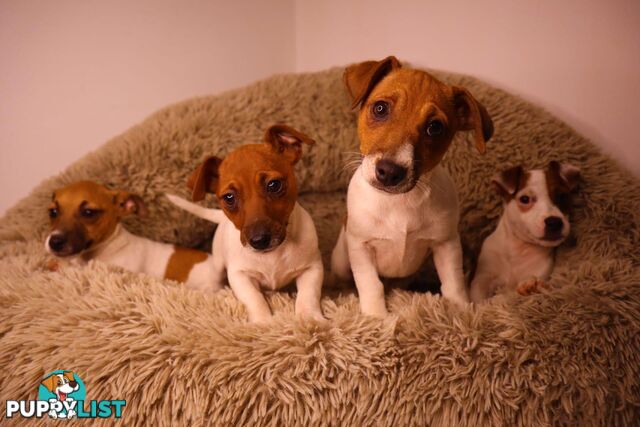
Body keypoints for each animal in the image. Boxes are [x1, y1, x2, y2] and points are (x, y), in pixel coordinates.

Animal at [165, 123, 324, 320]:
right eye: (229, 197)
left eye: (274, 185)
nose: (259, 241)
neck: (273, 255)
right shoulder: (239, 276)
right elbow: (254, 298)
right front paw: (264, 321)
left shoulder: (312, 268)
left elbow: (308, 294)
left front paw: (310, 318)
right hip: (218, 264)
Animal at [330, 56, 496, 318]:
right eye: (380, 108)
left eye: (434, 127)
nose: (389, 172)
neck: (398, 202)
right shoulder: (360, 247)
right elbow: (371, 285)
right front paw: (376, 317)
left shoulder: (446, 244)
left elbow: (454, 283)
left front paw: (461, 312)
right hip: (340, 260)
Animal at [468, 161, 584, 304]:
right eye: (524, 199)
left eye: (562, 196)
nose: (554, 222)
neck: (518, 249)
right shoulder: (482, 278)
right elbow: (478, 299)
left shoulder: (540, 271)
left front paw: (529, 286)